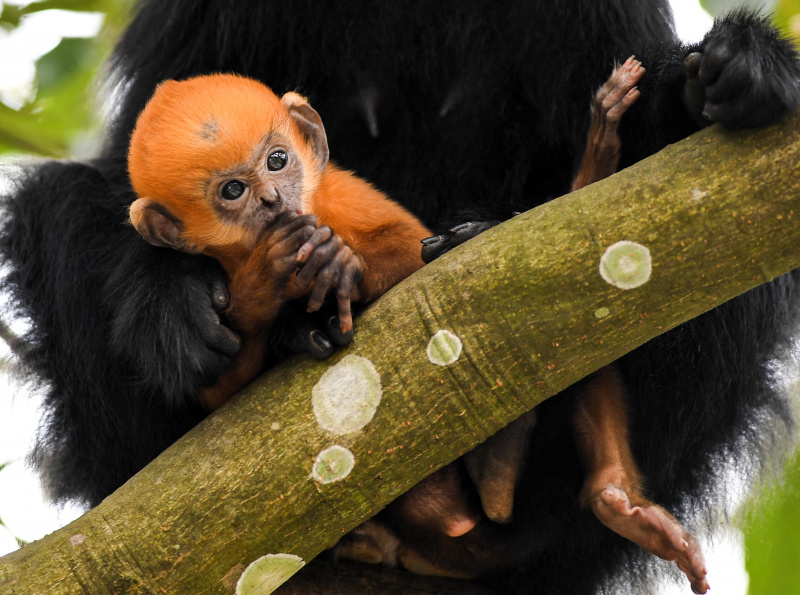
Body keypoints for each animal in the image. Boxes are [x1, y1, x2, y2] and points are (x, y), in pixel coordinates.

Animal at [127, 74, 433, 409]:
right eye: (233, 190)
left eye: (277, 160)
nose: (271, 198)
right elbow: (224, 388)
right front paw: (267, 271)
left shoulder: (336, 194)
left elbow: (413, 249)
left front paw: (337, 263)